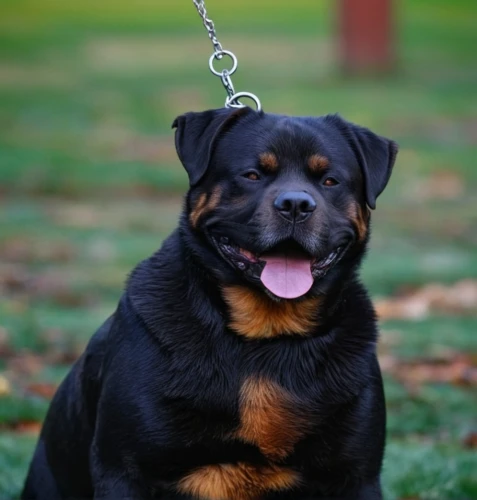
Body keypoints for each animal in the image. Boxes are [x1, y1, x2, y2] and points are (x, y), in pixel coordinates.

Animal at [23, 107, 398, 498]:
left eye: (329, 181)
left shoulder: (355, 475)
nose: (296, 203)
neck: (265, 332)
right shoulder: (124, 470)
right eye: (252, 175)